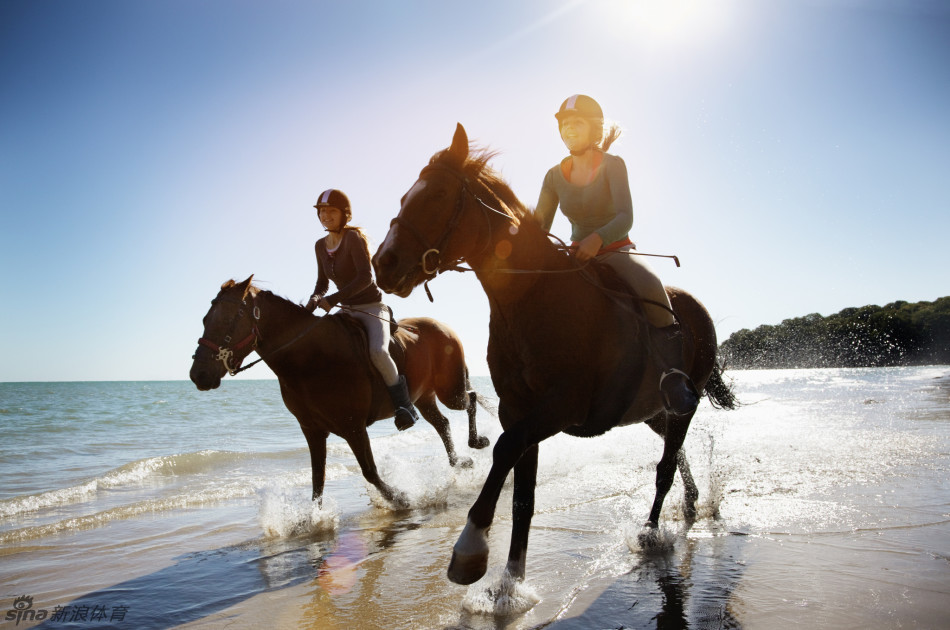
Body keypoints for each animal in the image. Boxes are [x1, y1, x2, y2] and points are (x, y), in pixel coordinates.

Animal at [191, 276, 494, 508]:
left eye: (228, 320)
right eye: (205, 319)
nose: (198, 375)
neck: (309, 358)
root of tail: (443, 326)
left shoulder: (353, 428)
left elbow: (369, 471)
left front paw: (399, 498)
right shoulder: (312, 430)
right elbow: (318, 480)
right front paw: (313, 521)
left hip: (449, 391)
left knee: (470, 400)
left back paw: (477, 442)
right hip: (424, 397)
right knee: (443, 423)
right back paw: (459, 461)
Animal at [370, 124, 736, 588]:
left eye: (436, 195)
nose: (383, 263)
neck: (533, 295)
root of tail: (697, 308)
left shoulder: (560, 407)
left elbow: (504, 449)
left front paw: (470, 548)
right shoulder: (520, 410)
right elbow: (522, 497)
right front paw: (509, 582)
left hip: (683, 402)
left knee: (666, 466)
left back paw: (652, 531)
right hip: (653, 411)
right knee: (676, 451)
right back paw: (690, 502)